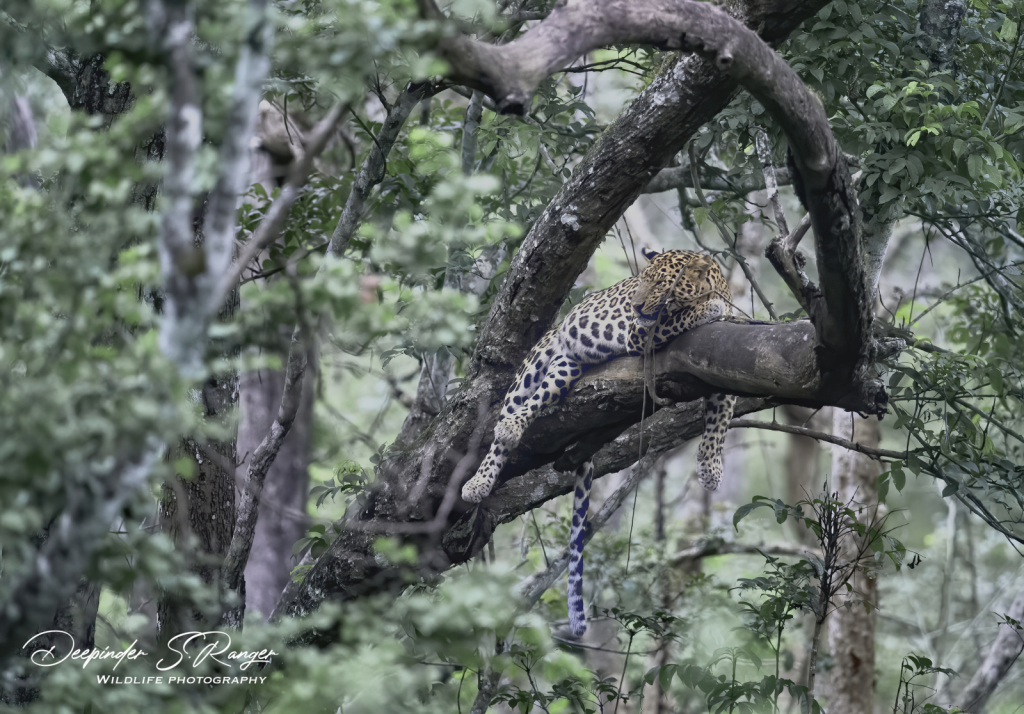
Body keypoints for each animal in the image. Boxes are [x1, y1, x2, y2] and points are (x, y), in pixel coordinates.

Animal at [462, 246, 737, 635]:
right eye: (641, 280)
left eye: (659, 283)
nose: (636, 306)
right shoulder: (642, 333)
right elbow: (679, 318)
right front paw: (708, 307)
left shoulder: (721, 367)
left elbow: (722, 416)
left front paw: (711, 468)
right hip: (534, 365)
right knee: (507, 421)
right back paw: (487, 466)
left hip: (565, 369)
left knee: (544, 396)